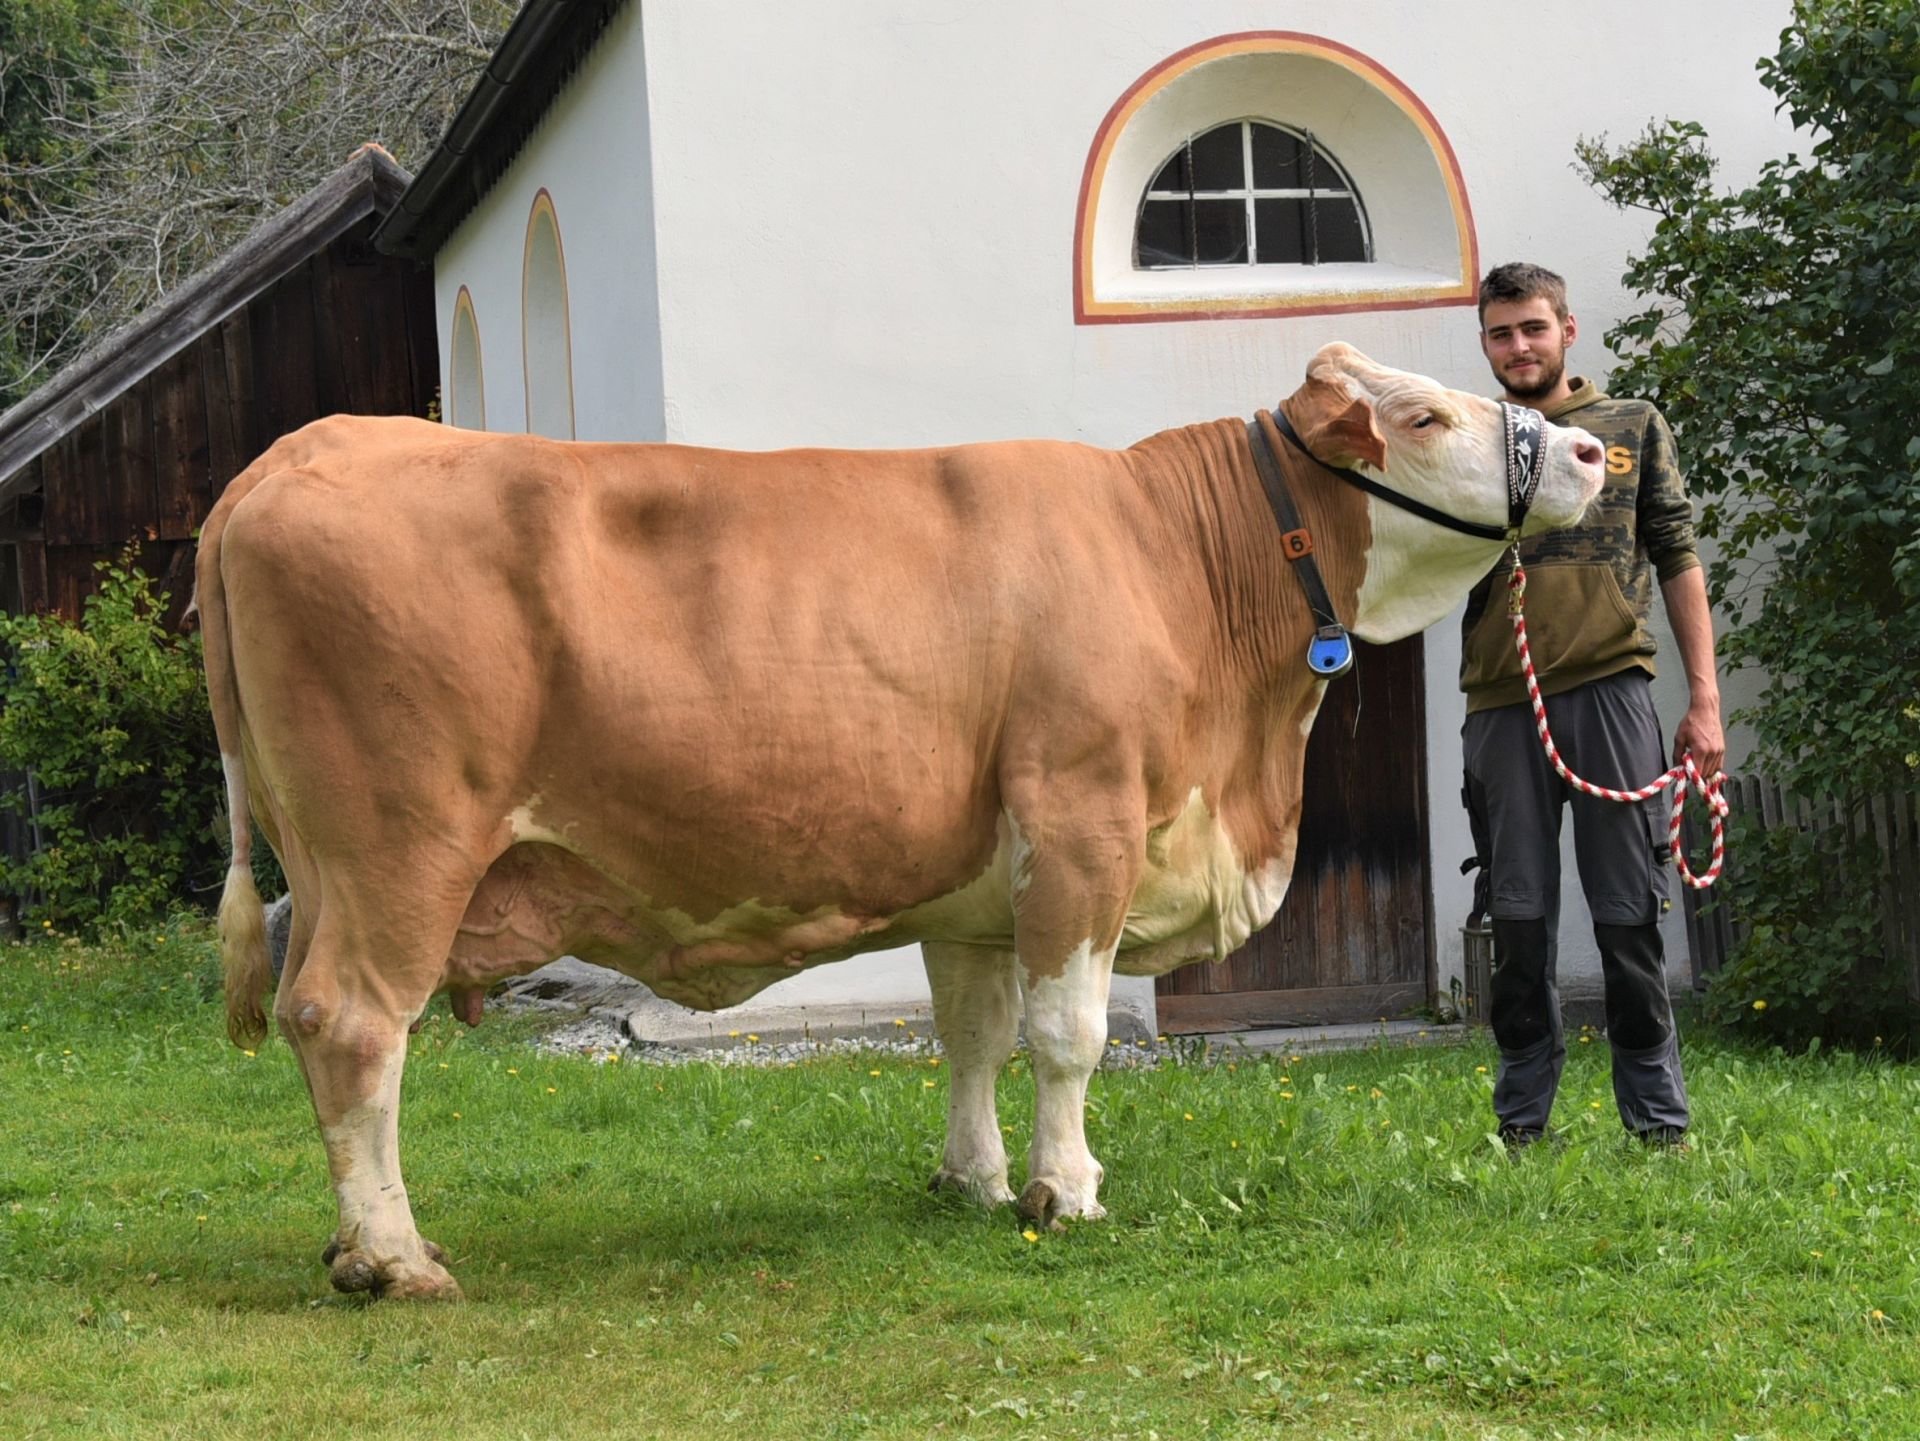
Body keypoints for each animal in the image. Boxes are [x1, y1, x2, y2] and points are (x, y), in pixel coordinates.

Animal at [198, 343, 1605, 1304]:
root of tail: (293, 453)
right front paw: (1066, 1189)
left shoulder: (976, 885)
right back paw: (395, 1258)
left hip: (334, 863)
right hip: (400, 850)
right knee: (351, 1023)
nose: (1594, 454)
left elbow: (972, 1034)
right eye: (1425, 415)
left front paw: (973, 1180)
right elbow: (1068, 1035)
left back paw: (363, 1239)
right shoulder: (1084, 824)